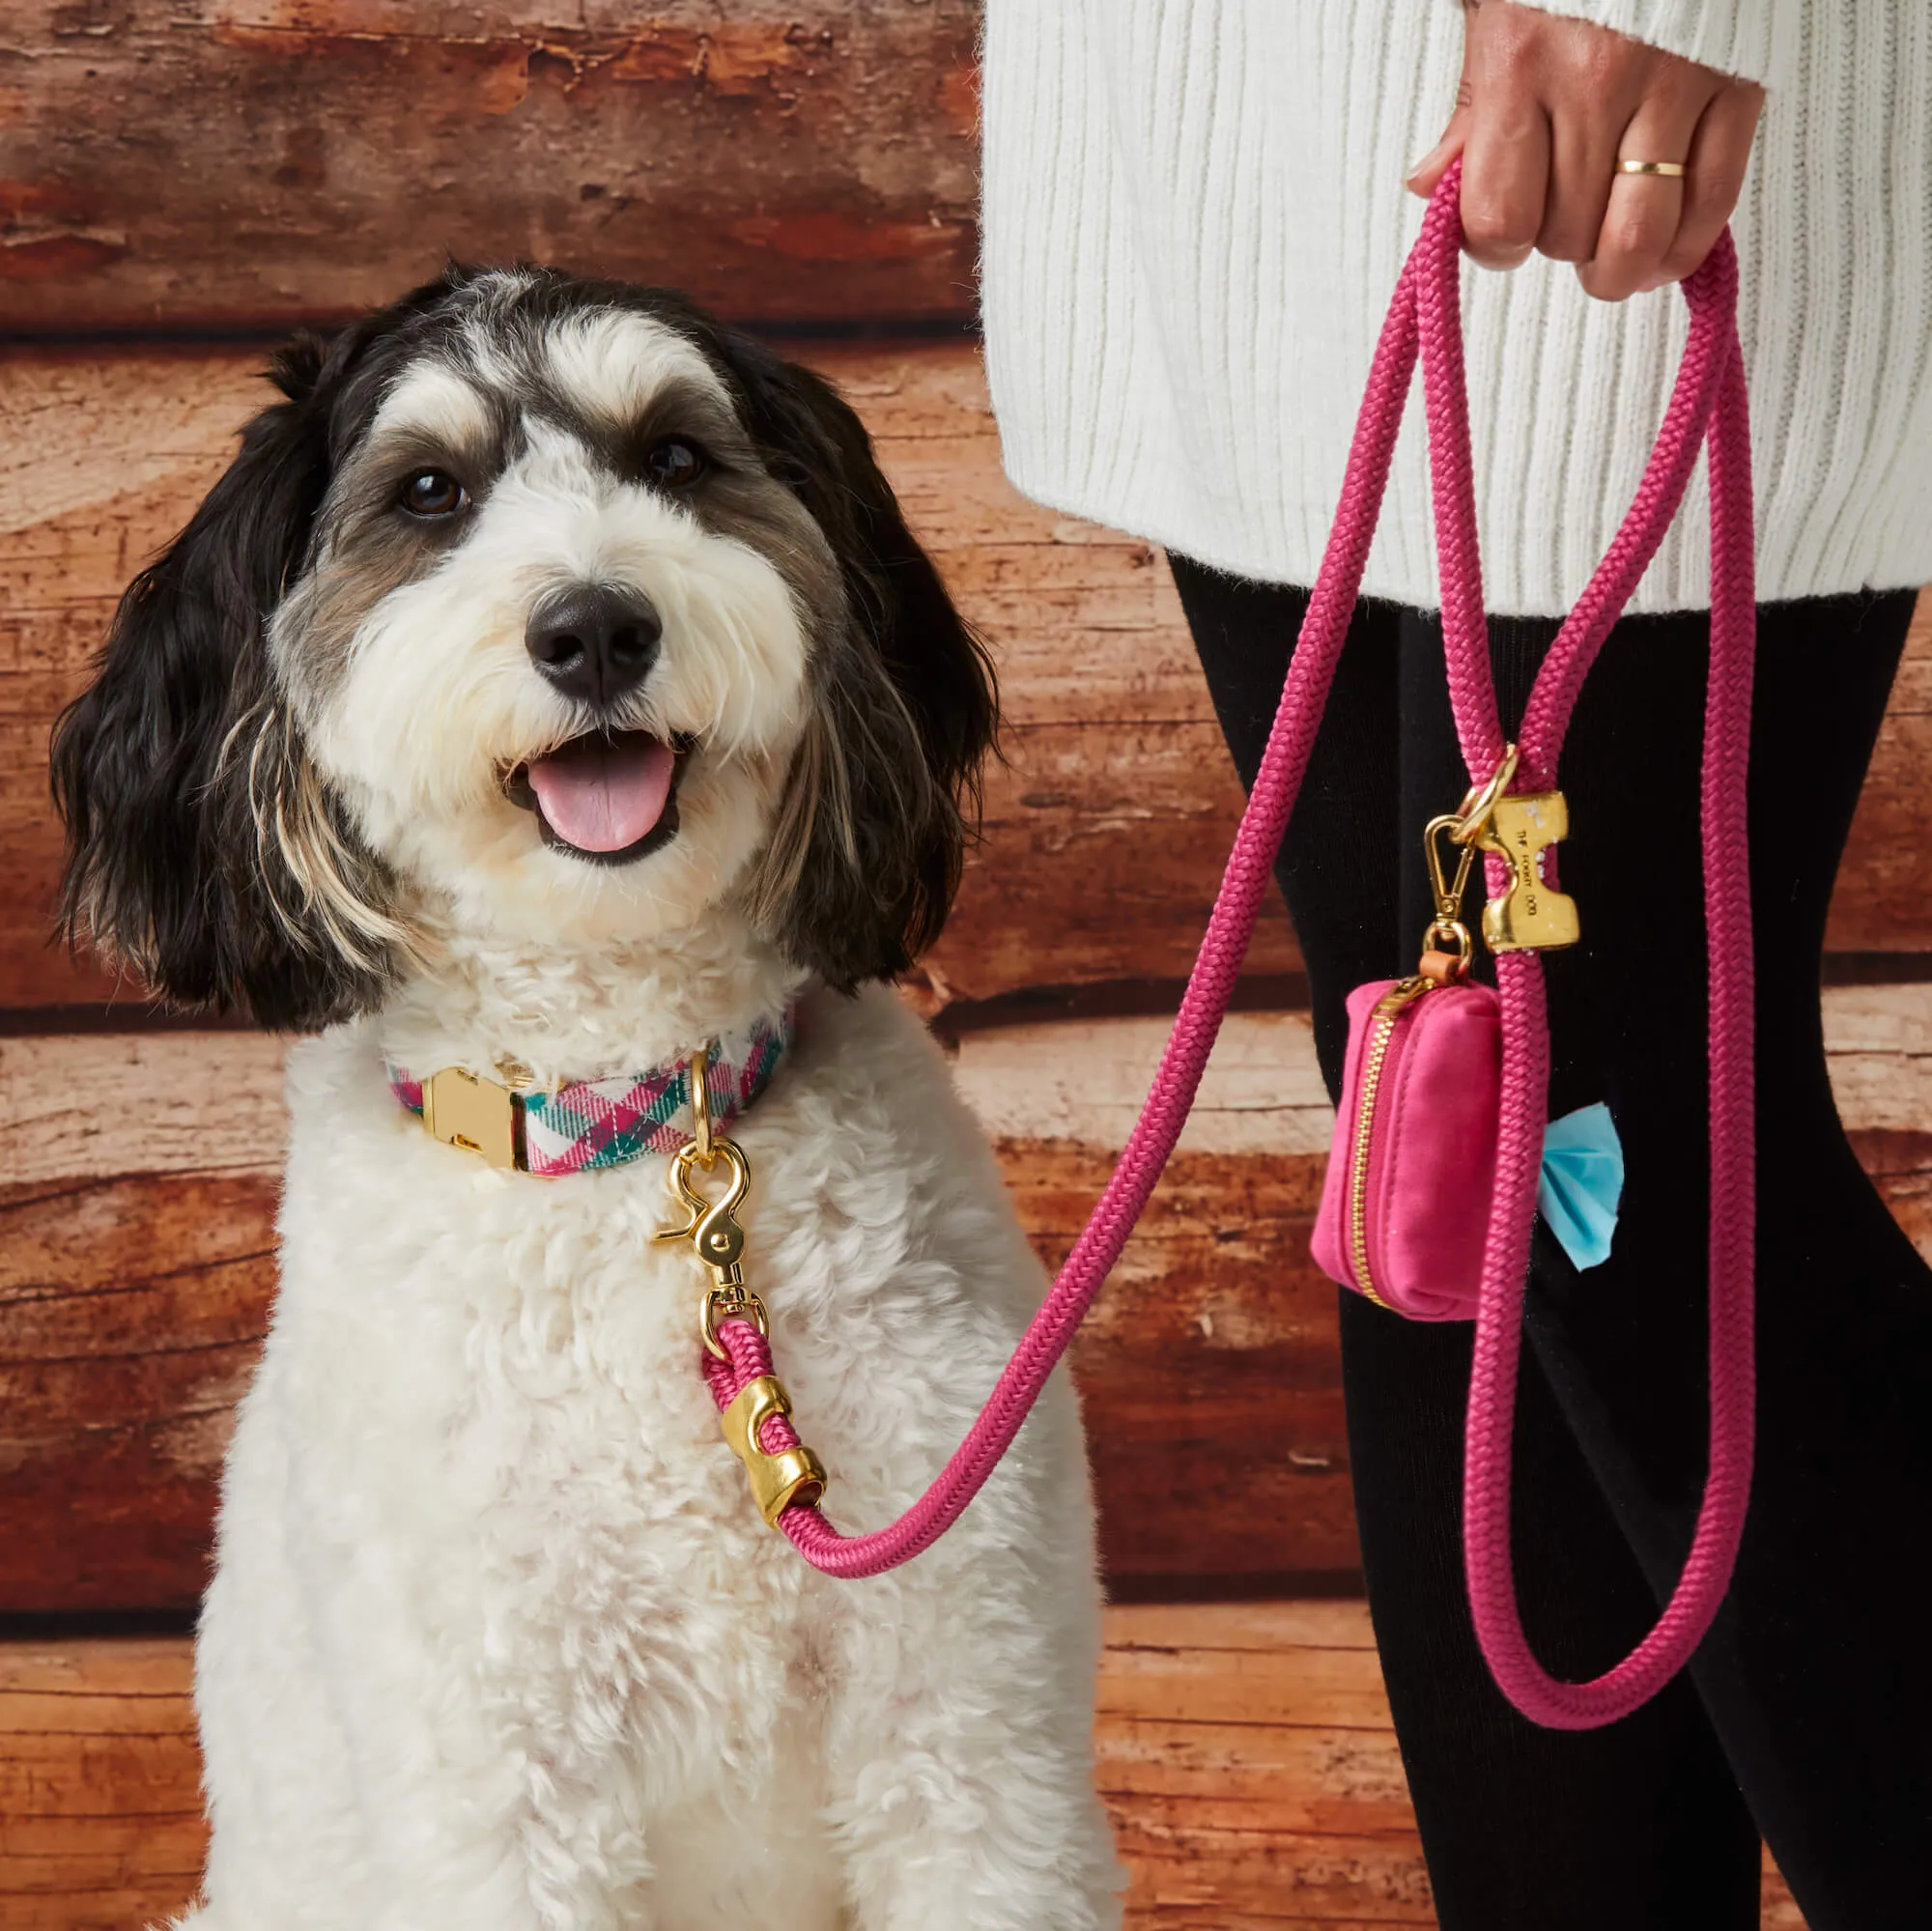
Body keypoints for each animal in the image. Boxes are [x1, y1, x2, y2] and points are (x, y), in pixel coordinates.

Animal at [52, 268, 1128, 1931]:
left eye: (676, 456)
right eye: (431, 492)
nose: (598, 623)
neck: (631, 1124)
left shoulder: (970, 1717)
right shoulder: (497, 1779)